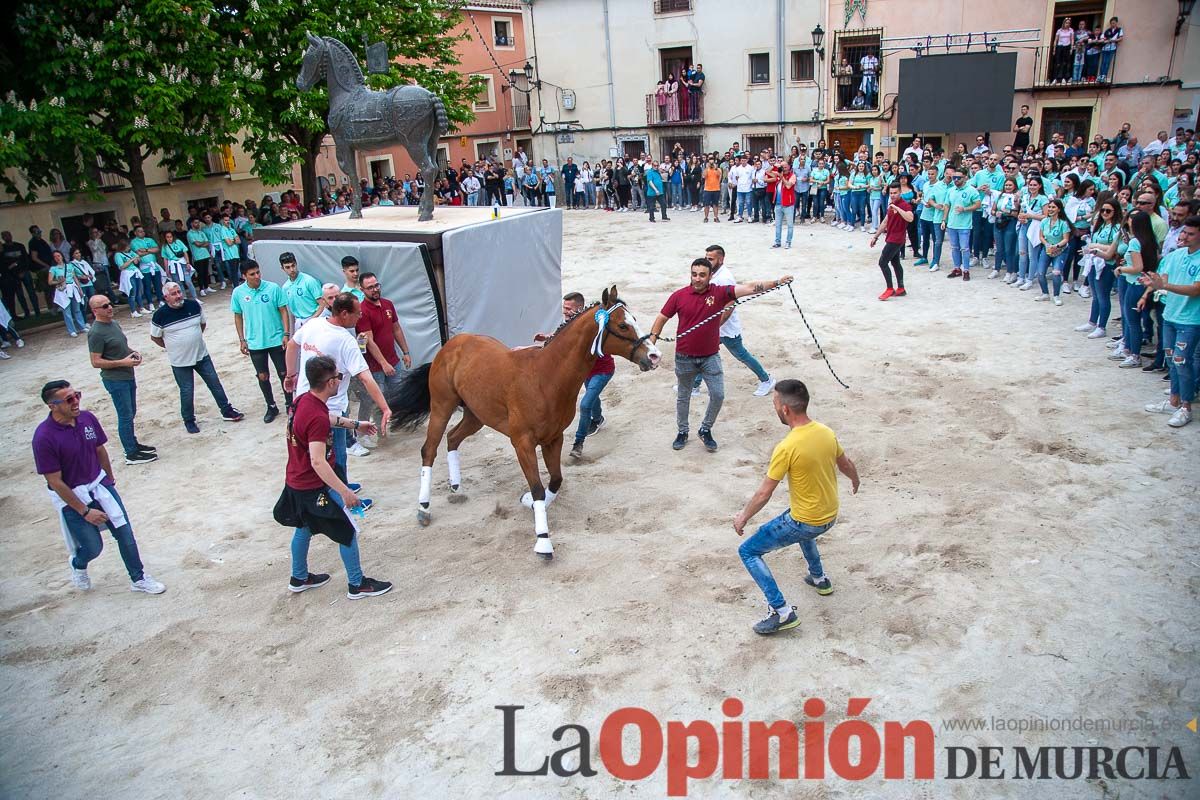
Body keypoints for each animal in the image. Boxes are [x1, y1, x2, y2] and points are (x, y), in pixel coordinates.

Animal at [388, 286, 662, 556]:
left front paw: (529, 502)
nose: (654, 356)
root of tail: (450, 345)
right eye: (623, 325)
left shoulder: (553, 439)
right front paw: (543, 540)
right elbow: (538, 486)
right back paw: (424, 508)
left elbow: (555, 480)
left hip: (476, 415)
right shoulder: (522, 443)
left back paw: (456, 487)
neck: (545, 378)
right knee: (429, 449)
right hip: (441, 407)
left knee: (453, 438)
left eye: (633, 320)